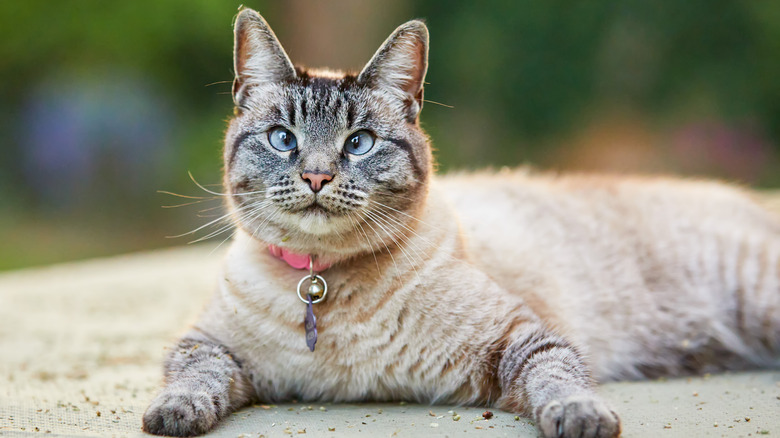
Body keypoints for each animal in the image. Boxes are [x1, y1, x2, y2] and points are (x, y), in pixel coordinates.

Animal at [142, 7, 780, 438]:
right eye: (283, 139)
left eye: (358, 143)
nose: (318, 177)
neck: (320, 284)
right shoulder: (211, 347)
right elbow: (192, 379)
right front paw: (172, 414)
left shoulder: (521, 339)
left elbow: (558, 381)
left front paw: (582, 417)